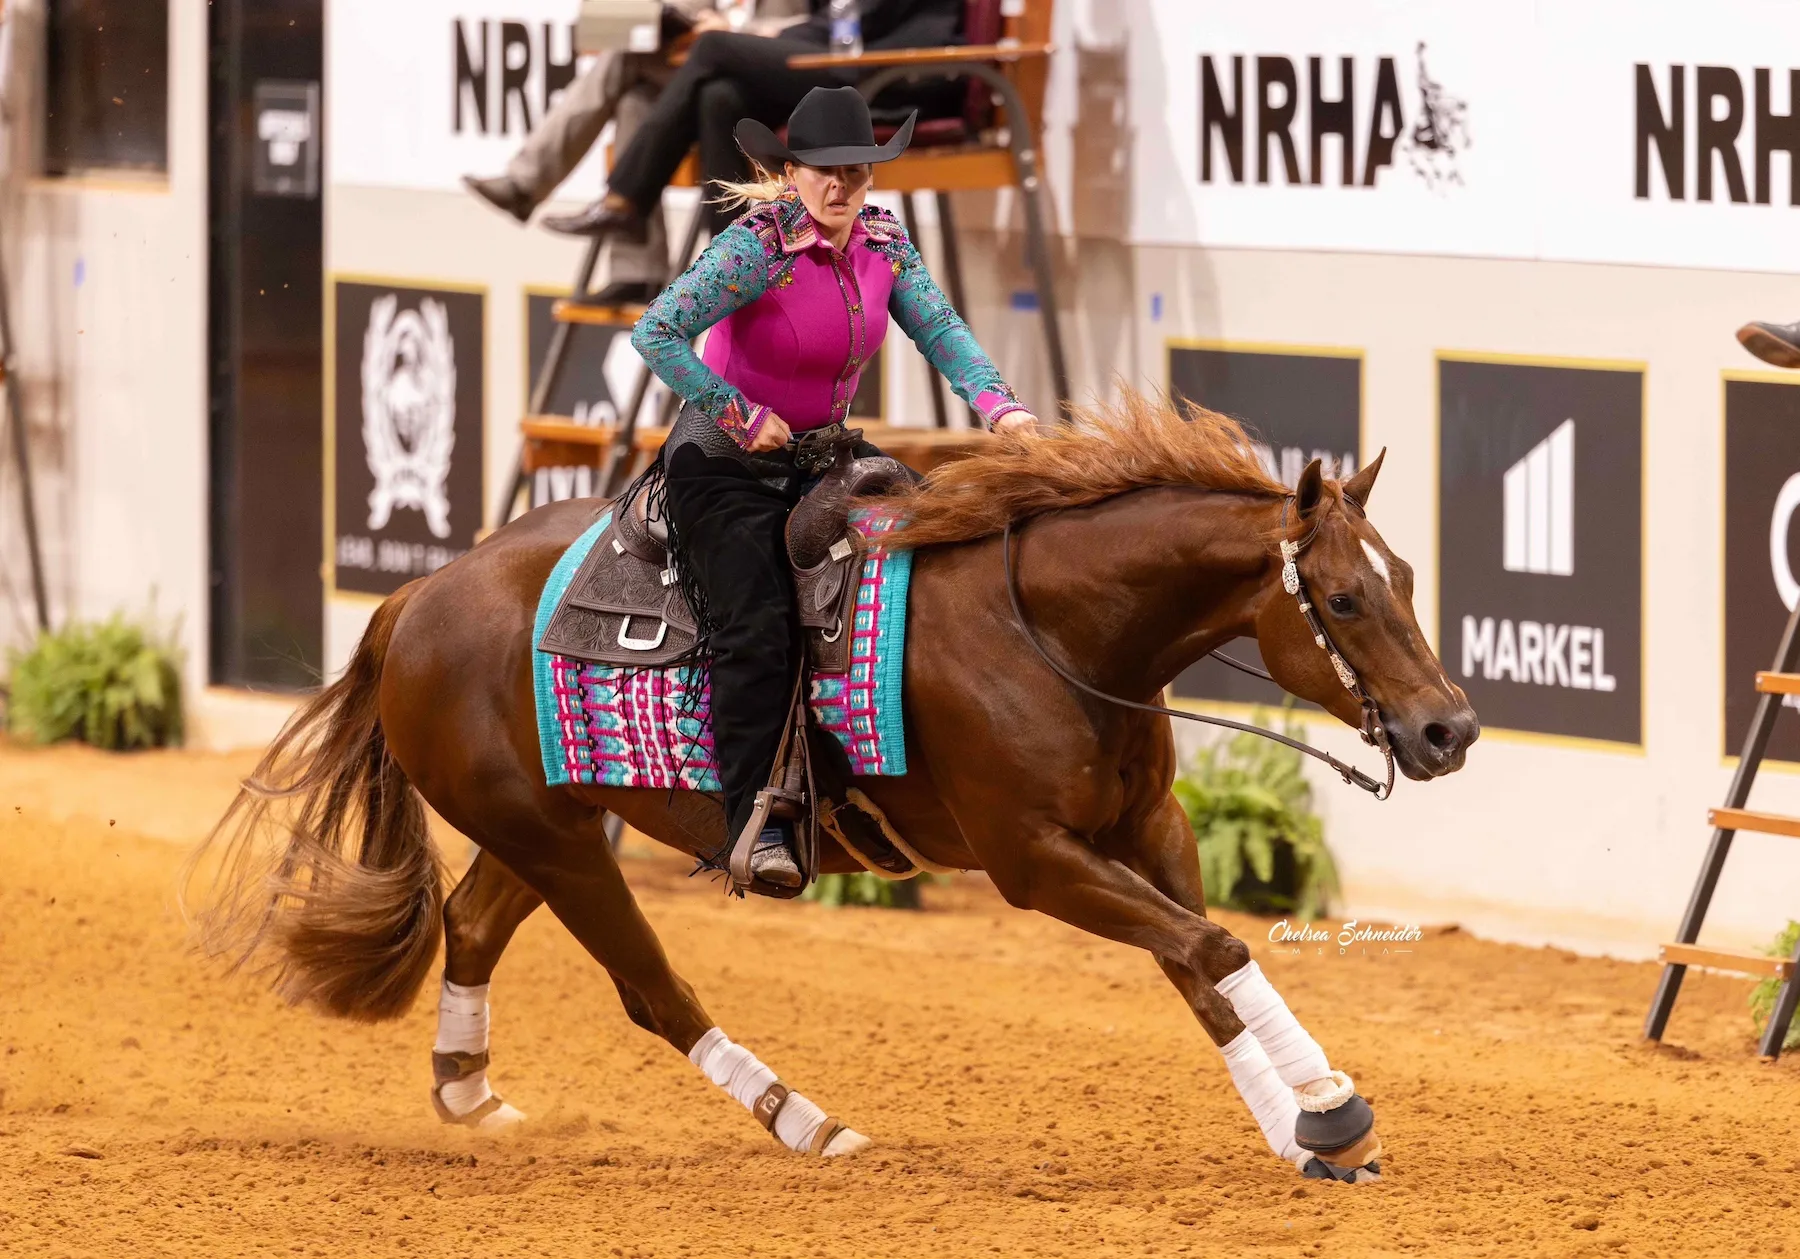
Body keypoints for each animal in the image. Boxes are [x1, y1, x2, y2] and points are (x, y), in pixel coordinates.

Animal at [190, 395, 1477, 1175]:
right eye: (1345, 597)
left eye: (1410, 575)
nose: (1449, 727)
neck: (1053, 625)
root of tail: (420, 594)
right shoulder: (1034, 860)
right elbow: (1212, 947)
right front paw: (1333, 1108)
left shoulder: (1147, 831)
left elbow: (1201, 964)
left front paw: (1305, 1132)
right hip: (555, 844)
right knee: (655, 992)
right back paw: (811, 1123)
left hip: (553, 825)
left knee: (469, 923)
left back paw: (472, 1098)